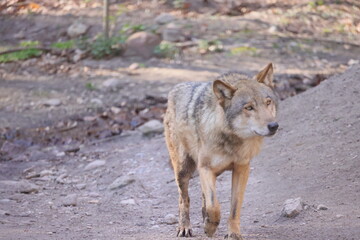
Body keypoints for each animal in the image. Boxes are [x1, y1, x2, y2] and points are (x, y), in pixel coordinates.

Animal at [163, 62, 278, 239]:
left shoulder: (241, 169)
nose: (273, 126)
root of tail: (174, 89)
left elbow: (234, 207)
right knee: (184, 199)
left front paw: (233, 233)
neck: (231, 139)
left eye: (268, 102)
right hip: (183, 170)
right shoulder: (205, 168)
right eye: (249, 108)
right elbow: (214, 206)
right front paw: (210, 228)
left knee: (203, 197)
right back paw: (184, 227)